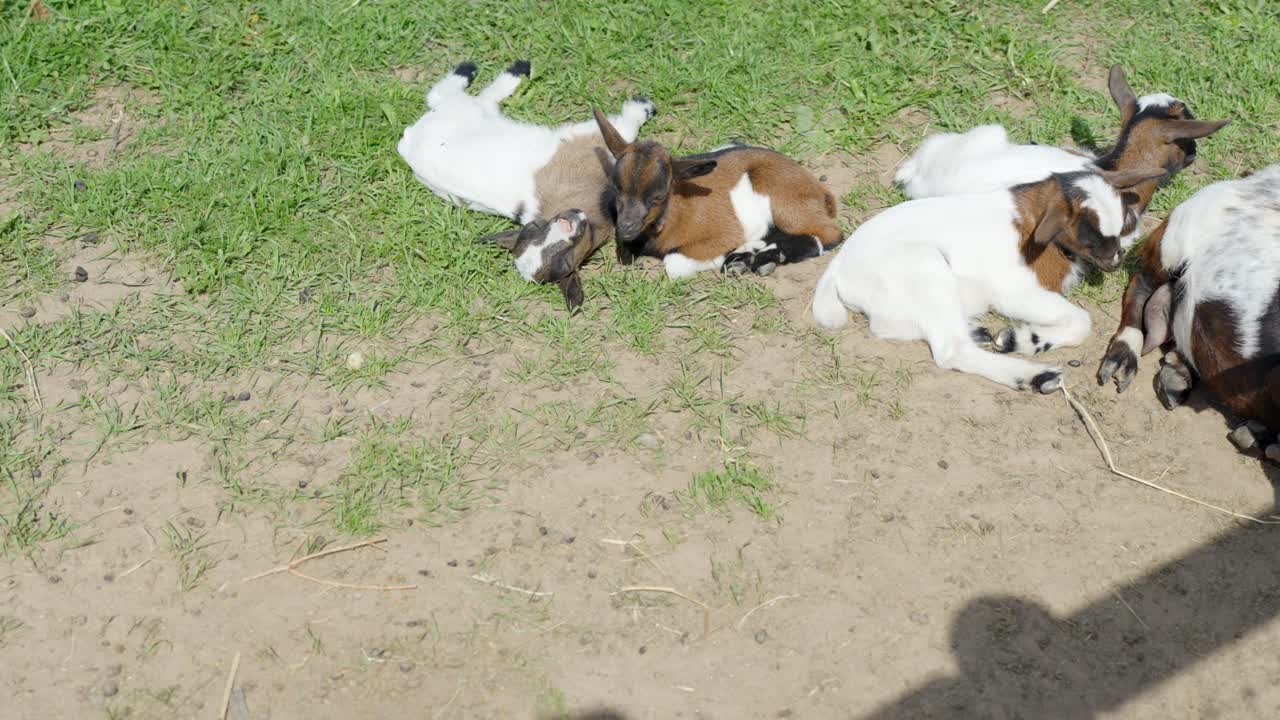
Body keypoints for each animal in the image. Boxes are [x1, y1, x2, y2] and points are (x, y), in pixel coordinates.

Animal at [397, 60, 655, 309]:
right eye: (564, 261)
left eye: (535, 228)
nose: (571, 219)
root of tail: (407, 143)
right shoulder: (589, 143)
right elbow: (625, 128)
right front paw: (641, 107)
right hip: (464, 110)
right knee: (454, 94)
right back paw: (495, 70)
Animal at [592, 111, 841, 279]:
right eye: (615, 188)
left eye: (658, 197)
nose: (626, 228)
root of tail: (819, 189)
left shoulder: (723, 234)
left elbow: (674, 264)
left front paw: (730, 256)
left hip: (784, 198)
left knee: (829, 233)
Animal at [812, 167, 1166, 392]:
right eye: (1087, 232)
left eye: (1121, 223)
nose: (1116, 260)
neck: (1031, 222)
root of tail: (838, 267)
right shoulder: (1016, 292)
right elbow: (1083, 321)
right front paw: (1021, 340)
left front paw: (1016, 339)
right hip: (924, 265)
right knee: (950, 349)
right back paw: (1035, 377)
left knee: (891, 326)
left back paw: (976, 330)